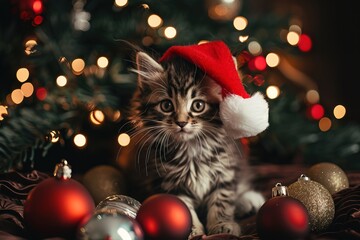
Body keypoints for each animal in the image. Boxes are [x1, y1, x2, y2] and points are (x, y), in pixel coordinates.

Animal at [117, 49, 264, 237]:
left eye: (198, 105)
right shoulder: (169, 183)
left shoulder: (225, 172)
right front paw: (192, 231)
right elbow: (184, 207)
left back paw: (249, 200)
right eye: (166, 105)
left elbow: (222, 200)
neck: (192, 148)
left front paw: (222, 224)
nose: (181, 122)